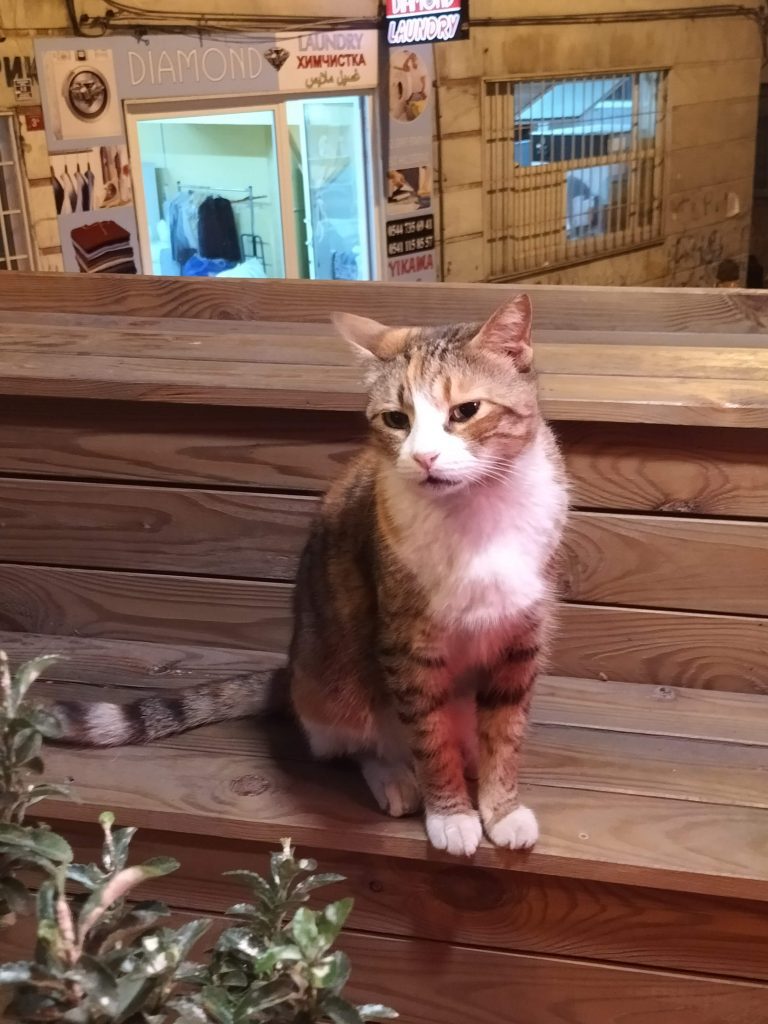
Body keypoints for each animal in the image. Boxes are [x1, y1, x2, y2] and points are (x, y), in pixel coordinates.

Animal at [57, 294, 569, 856]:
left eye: (466, 411)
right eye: (397, 419)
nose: (424, 456)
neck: (477, 516)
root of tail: (291, 672)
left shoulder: (521, 637)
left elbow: (505, 732)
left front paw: (501, 807)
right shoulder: (408, 646)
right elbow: (429, 739)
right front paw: (451, 814)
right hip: (336, 680)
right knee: (358, 740)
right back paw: (395, 775)